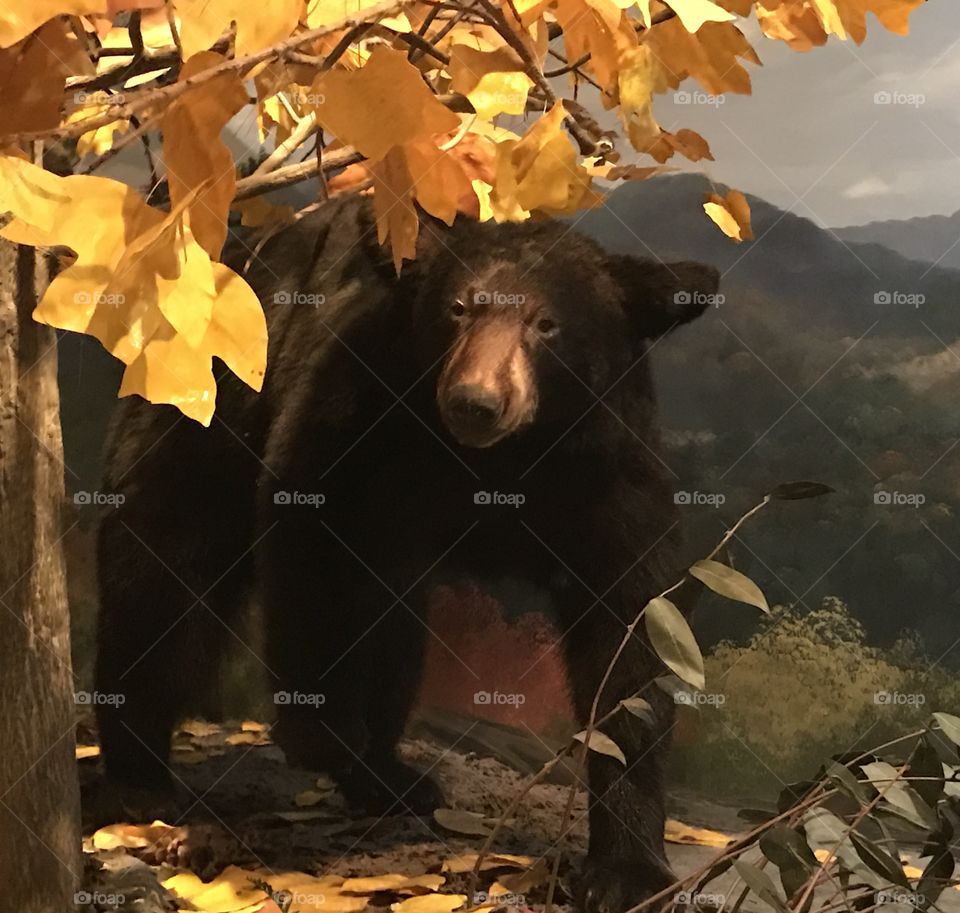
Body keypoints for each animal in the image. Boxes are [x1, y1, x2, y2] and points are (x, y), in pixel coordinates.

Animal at [93, 193, 718, 913]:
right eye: (458, 309)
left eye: (547, 324)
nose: (477, 401)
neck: (498, 461)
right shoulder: (363, 413)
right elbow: (316, 543)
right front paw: (321, 732)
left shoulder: (605, 474)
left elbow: (630, 639)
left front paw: (627, 869)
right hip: (198, 408)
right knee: (159, 583)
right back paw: (141, 778)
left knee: (397, 637)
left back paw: (391, 776)